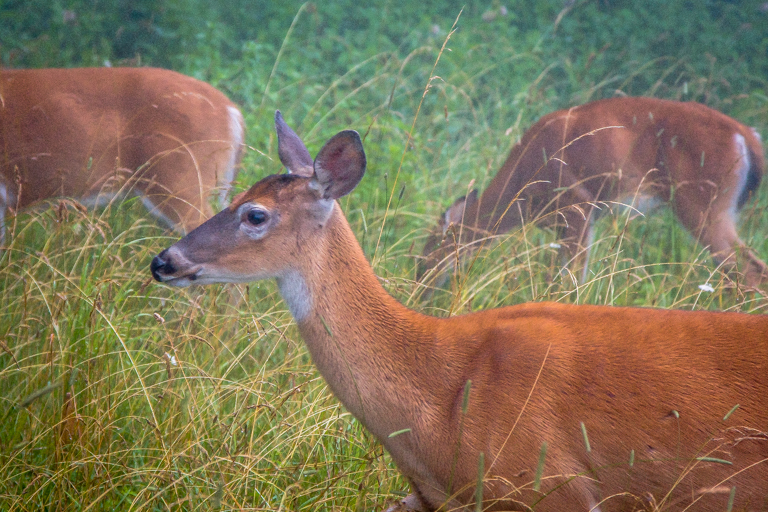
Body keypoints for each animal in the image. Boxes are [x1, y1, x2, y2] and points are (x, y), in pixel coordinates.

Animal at [420, 96, 768, 288]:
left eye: (427, 252)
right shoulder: (573, 223)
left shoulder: (578, 205)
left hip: (702, 205)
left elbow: (570, 279)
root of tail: (747, 136)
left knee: (751, 272)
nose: (419, 287)